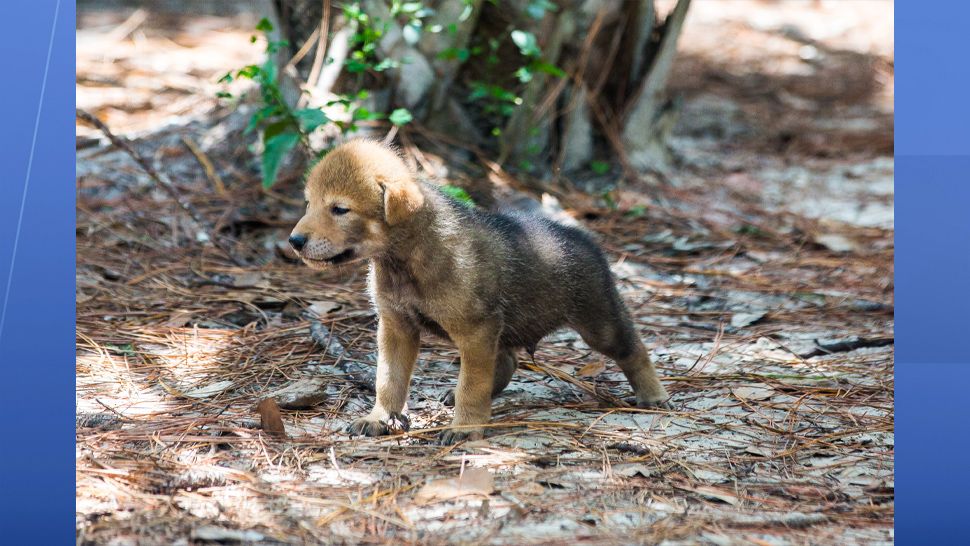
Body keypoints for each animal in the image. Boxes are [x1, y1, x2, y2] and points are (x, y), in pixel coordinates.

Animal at [288, 139, 664, 442]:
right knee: (508, 360)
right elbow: (388, 380)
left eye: (340, 209)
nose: (294, 241)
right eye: (308, 204)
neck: (407, 260)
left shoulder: (474, 329)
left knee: (635, 349)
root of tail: (584, 238)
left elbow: (471, 385)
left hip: (600, 324)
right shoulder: (396, 327)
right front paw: (379, 418)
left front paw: (465, 428)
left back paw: (654, 395)